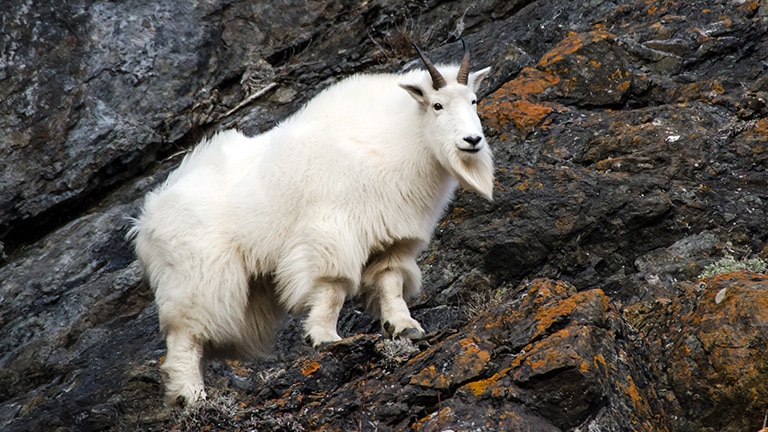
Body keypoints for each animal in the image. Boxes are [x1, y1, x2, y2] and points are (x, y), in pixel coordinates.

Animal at [130, 39, 493, 405]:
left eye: (473, 100)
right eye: (437, 105)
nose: (472, 141)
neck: (396, 140)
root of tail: (145, 222)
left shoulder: (392, 238)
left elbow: (391, 282)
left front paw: (404, 326)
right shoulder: (330, 230)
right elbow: (332, 287)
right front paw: (324, 337)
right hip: (196, 278)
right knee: (186, 334)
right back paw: (191, 396)